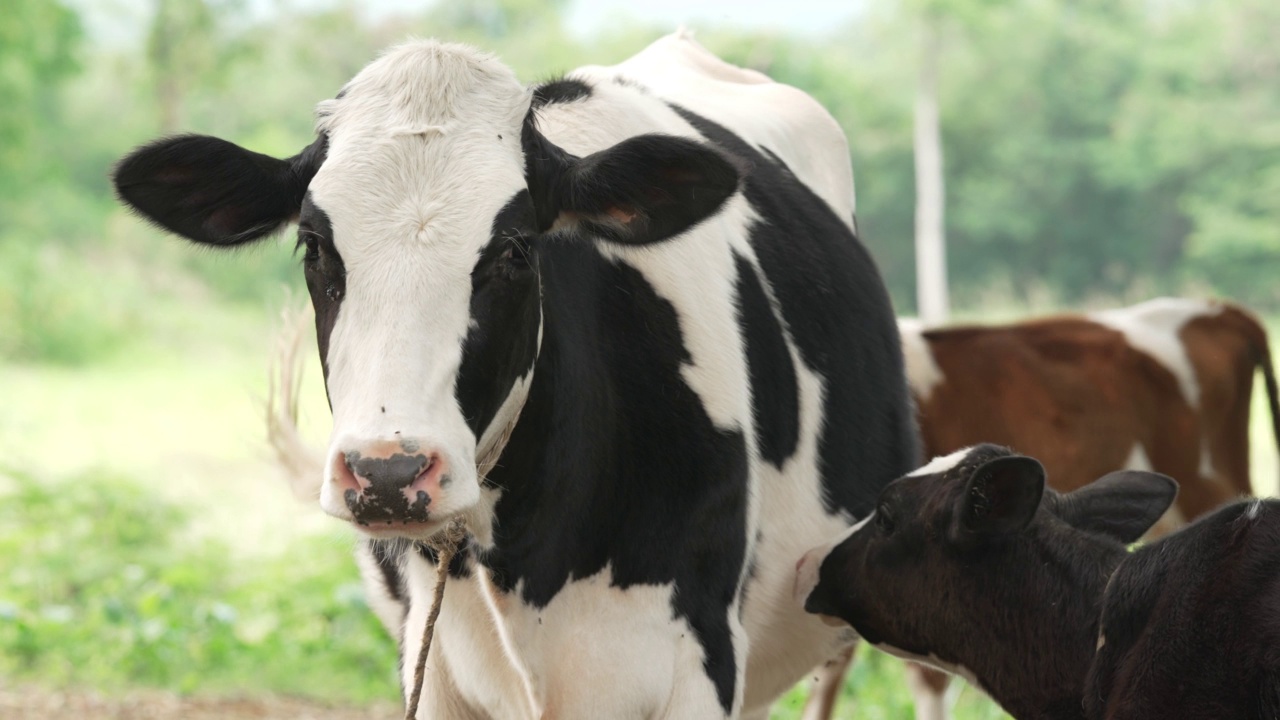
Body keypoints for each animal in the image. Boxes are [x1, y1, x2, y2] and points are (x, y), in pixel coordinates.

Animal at [107, 30, 911, 712]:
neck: (535, 558)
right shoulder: (432, 669)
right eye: (313, 245)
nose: (388, 474)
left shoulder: (698, 664)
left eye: (516, 249)